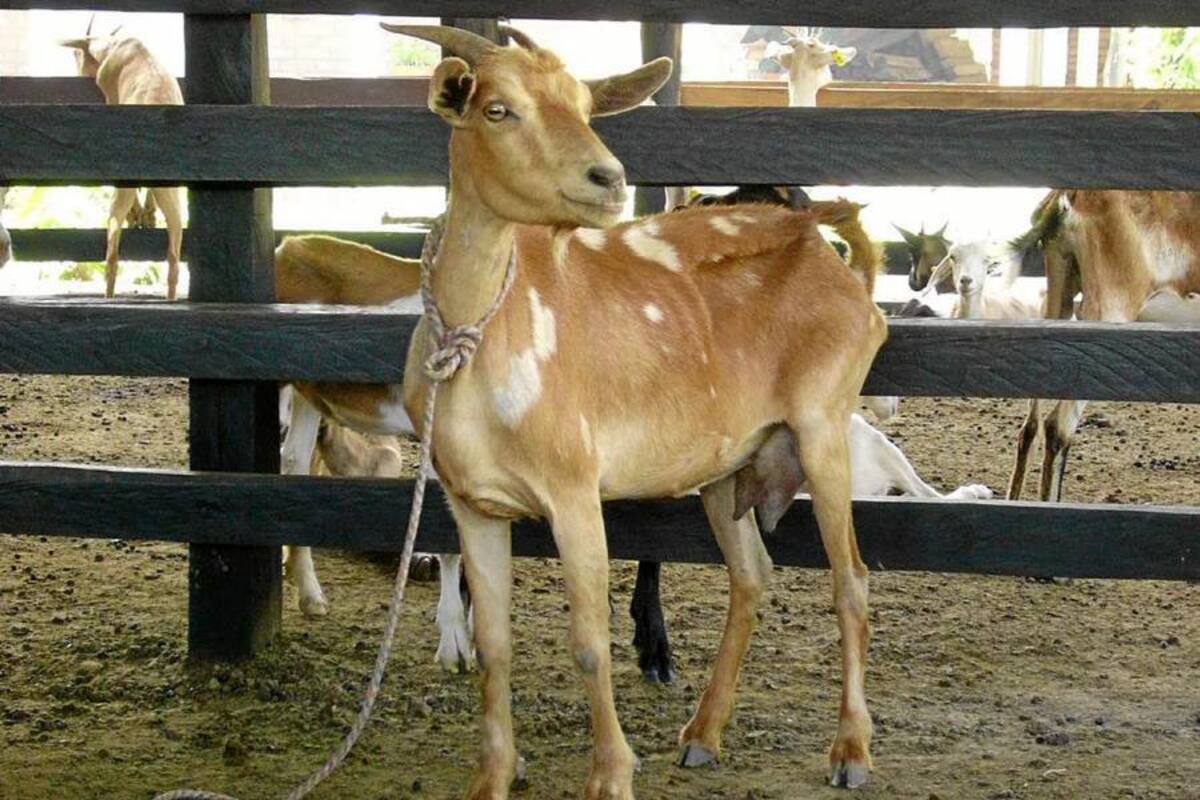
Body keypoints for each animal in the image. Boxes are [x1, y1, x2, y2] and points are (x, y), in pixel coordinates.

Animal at [61, 23, 184, 300]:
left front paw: (139, 215)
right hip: (172, 199)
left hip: (120, 199)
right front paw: (147, 216)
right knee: (173, 257)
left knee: (112, 254)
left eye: (78, 55)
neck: (124, 47)